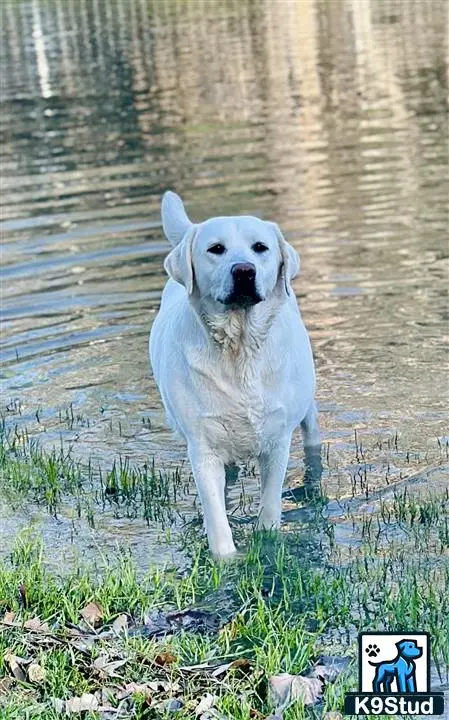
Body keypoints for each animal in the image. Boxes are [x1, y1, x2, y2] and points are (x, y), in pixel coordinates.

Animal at [150, 194, 318, 560]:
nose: (244, 270)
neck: (239, 347)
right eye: (216, 249)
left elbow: (270, 506)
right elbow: (216, 517)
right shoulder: (202, 448)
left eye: (260, 247)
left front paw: (267, 542)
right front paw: (226, 559)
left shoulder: (277, 439)